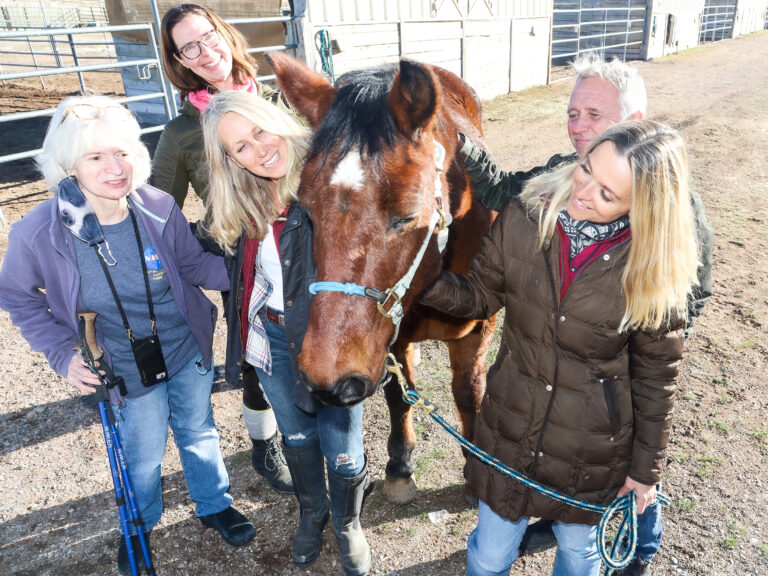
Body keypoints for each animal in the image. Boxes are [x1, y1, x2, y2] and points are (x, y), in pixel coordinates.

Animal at [268, 54, 498, 504]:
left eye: (406, 217)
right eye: (308, 212)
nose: (328, 379)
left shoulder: (481, 328)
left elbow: (469, 394)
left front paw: (475, 466)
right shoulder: (392, 340)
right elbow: (398, 396)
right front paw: (400, 466)